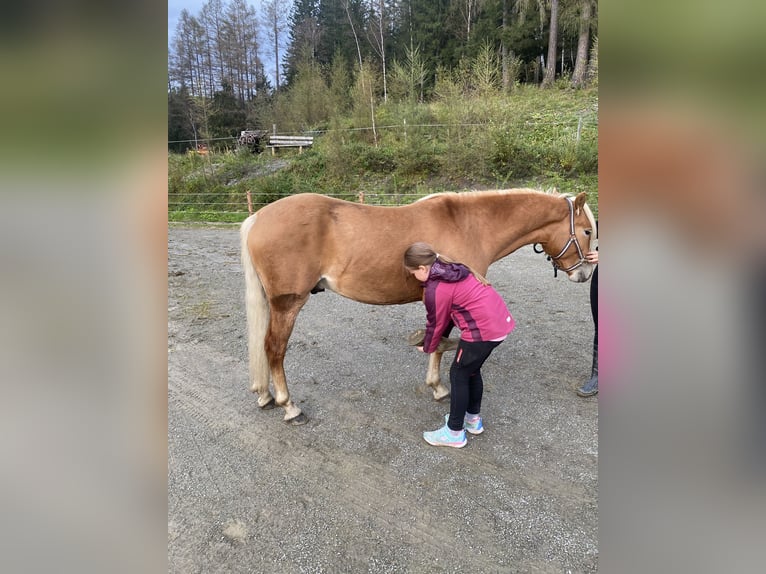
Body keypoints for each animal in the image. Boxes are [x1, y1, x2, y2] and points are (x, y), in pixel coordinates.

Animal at [240, 188, 600, 424]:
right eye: (586, 230)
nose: (585, 273)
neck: (468, 224)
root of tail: (257, 217)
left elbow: (437, 340)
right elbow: (441, 345)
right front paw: (439, 388)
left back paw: (265, 395)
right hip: (288, 304)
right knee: (274, 349)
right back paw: (289, 407)